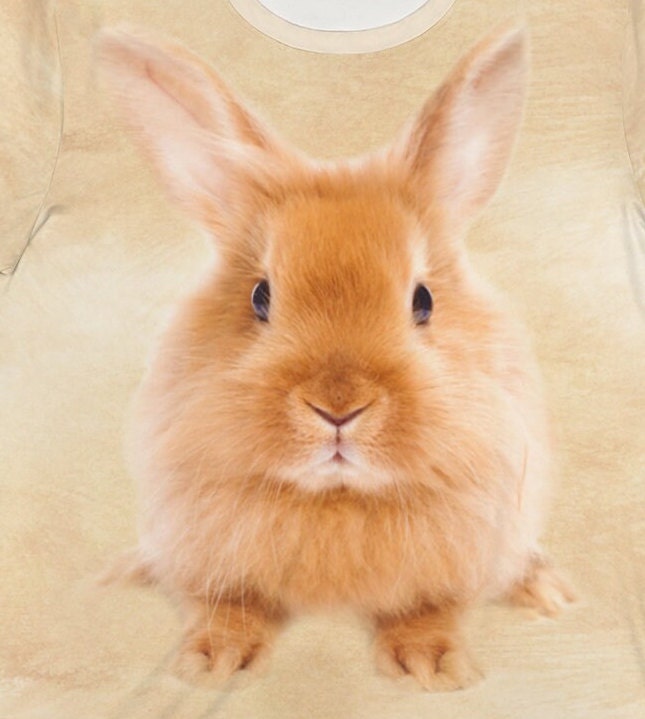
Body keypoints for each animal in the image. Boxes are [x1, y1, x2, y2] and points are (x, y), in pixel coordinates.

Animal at [98, 23, 574, 691]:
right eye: (260, 296)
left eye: (423, 300)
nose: (339, 407)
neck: (337, 499)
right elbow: (230, 606)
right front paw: (213, 663)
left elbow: (429, 608)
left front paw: (431, 668)